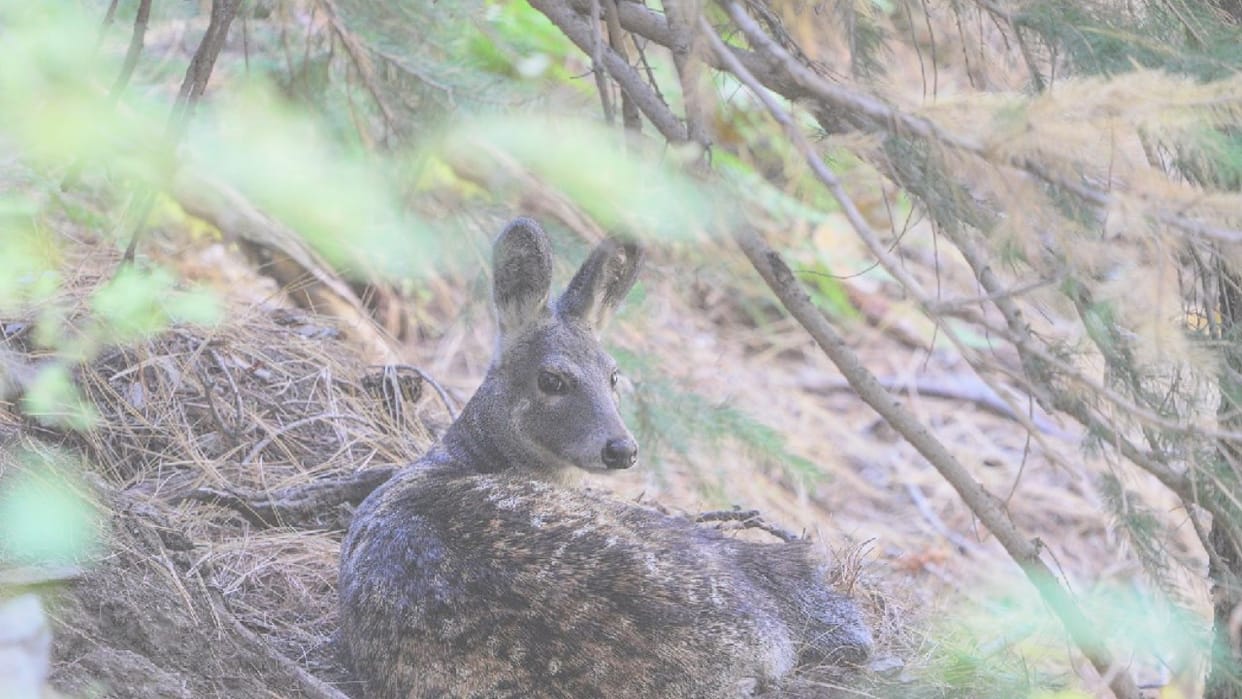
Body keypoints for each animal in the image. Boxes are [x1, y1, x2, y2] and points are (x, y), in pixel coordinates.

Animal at [338, 218, 873, 698]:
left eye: (614, 375)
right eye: (551, 379)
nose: (622, 448)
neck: (467, 454)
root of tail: (754, 652)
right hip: (693, 539)